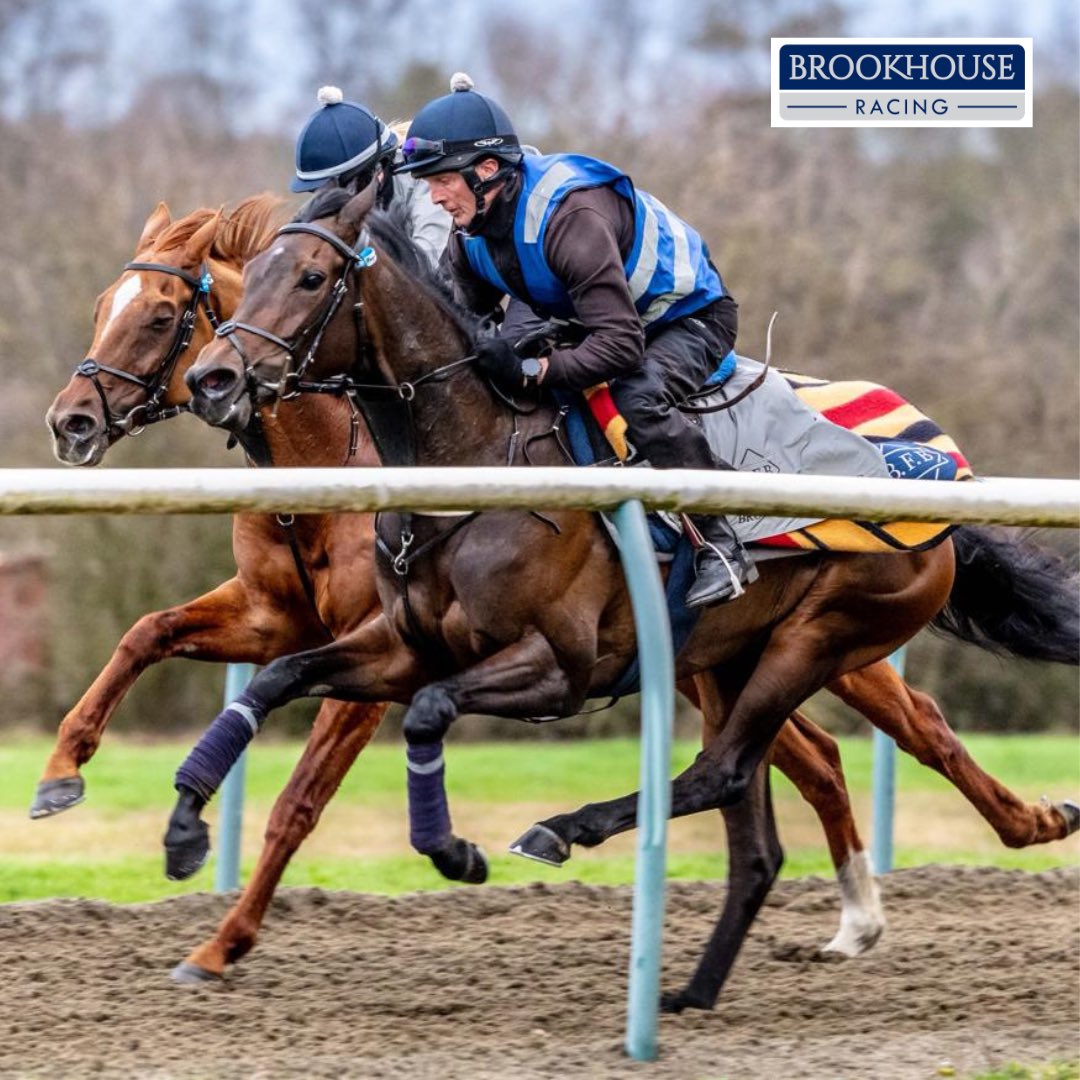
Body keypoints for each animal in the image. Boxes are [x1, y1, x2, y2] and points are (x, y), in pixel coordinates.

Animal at [181, 181, 1075, 1006]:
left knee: (727, 770)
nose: (213, 377)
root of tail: (939, 475)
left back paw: (565, 831)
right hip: (727, 659)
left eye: (310, 276)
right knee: (755, 833)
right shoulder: (404, 645)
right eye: (249, 275)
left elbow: (431, 711)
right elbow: (278, 676)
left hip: (818, 638)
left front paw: (454, 849)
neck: (475, 458)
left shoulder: (558, 668)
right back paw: (692, 991)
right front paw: (186, 823)